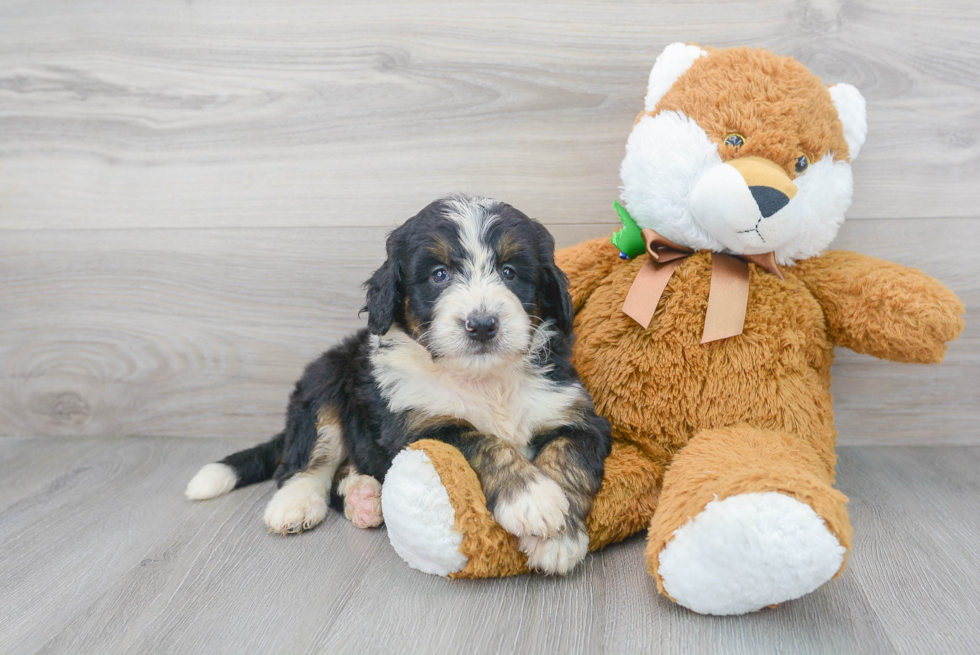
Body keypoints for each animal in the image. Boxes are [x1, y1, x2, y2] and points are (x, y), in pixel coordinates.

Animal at [187, 195, 608, 576]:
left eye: (509, 272)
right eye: (439, 275)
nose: (482, 324)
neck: (484, 380)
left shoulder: (577, 415)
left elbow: (567, 458)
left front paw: (560, 537)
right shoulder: (419, 427)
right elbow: (483, 443)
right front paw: (532, 499)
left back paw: (363, 497)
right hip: (325, 381)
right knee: (305, 462)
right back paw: (295, 505)